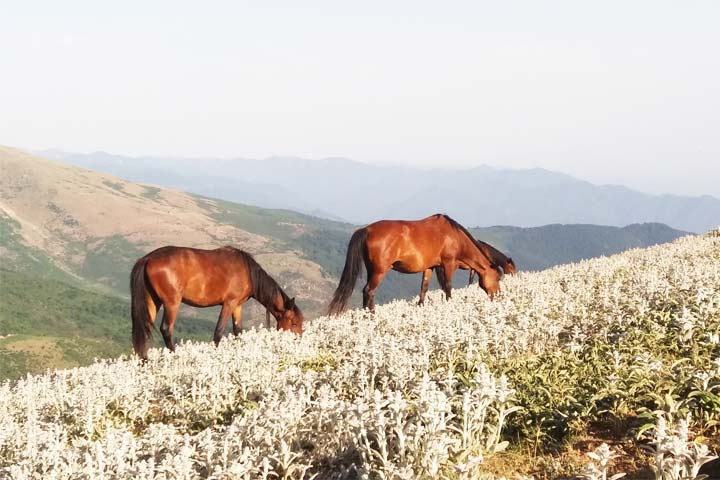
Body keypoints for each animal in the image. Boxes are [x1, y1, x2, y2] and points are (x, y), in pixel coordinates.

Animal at [131, 246, 302, 358]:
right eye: (294, 323)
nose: (298, 341)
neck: (248, 272)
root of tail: (147, 259)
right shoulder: (229, 303)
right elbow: (218, 332)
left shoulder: (237, 306)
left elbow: (238, 331)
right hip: (172, 303)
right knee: (166, 329)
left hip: (153, 301)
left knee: (144, 328)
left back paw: (144, 360)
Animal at [328, 215, 500, 316]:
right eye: (498, 278)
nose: (498, 296)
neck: (454, 236)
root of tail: (367, 229)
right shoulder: (449, 263)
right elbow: (448, 287)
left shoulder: (429, 267)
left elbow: (424, 288)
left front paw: (420, 306)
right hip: (379, 271)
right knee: (368, 291)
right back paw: (371, 316)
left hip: (372, 270)